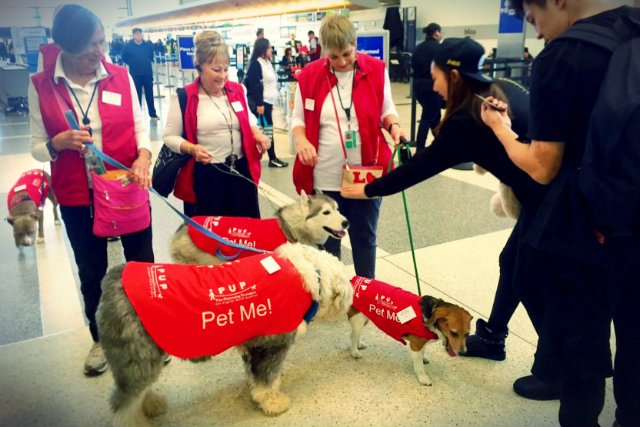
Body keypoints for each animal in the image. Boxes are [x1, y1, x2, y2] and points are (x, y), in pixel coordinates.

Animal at [97, 242, 352, 426]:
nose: (350, 305)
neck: (312, 274)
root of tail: (112, 279)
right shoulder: (271, 345)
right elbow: (266, 379)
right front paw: (273, 402)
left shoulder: (252, 343)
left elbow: (255, 375)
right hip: (136, 356)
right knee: (123, 405)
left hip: (144, 358)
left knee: (138, 393)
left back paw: (152, 405)